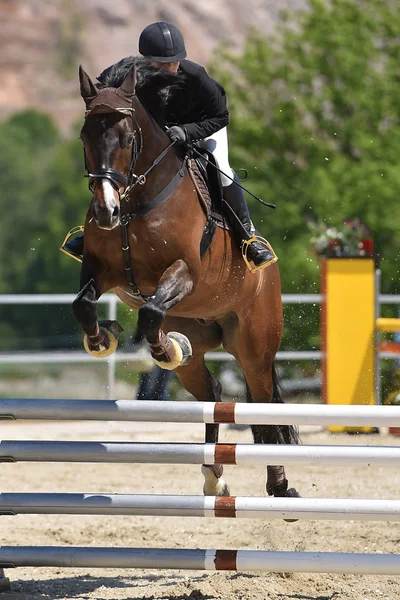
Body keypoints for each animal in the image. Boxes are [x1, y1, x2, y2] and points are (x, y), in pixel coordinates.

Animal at [72, 57, 298, 496]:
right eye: (84, 136)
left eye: (127, 138)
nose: (106, 211)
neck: (136, 202)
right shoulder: (100, 270)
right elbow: (83, 304)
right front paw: (103, 338)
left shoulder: (185, 272)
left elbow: (150, 311)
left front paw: (162, 350)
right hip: (197, 333)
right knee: (213, 391)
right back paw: (214, 477)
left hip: (254, 344)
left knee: (263, 404)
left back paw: (279, 485)